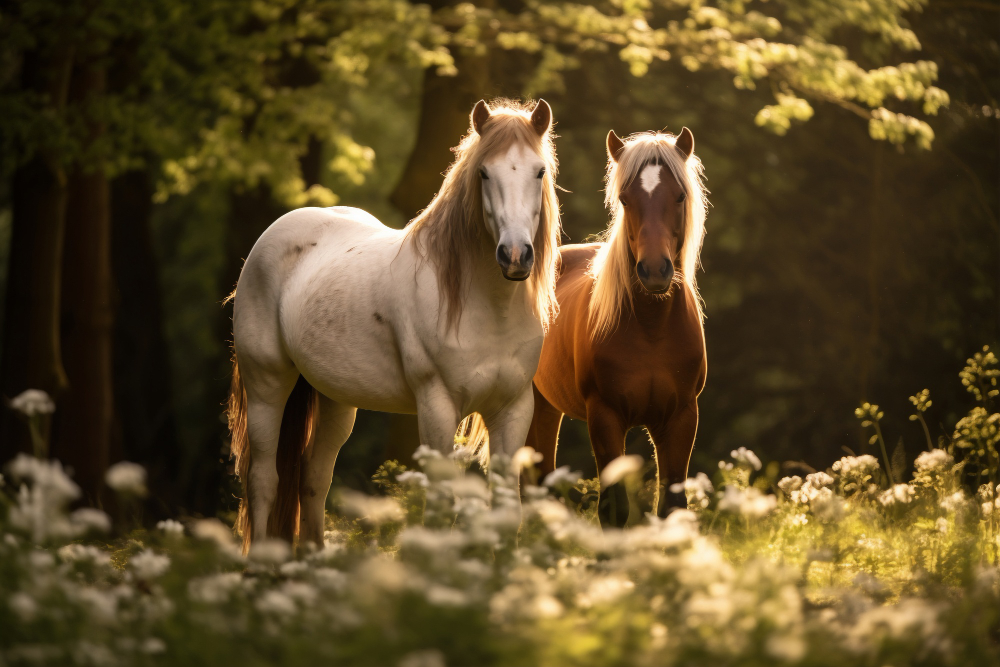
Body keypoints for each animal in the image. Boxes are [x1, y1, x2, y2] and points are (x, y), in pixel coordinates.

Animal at [228, 98, 562, 551]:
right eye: (484, 172)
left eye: (539, 171)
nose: (515, 256)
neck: (487, 308)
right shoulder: (437, 406)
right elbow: (439, 508)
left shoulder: (513, 409)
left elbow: (508, 512)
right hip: (267, 385)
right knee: (264, 480)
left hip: (335, 399)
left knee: (313, 479)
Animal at [525, 128, 709, 527]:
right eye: (625, 198)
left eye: (680, 195)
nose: (654, 271)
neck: (651, 329)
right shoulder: (605, 416)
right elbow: (613, 509)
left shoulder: (681, 418)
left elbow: (672, 507)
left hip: (545, 405)